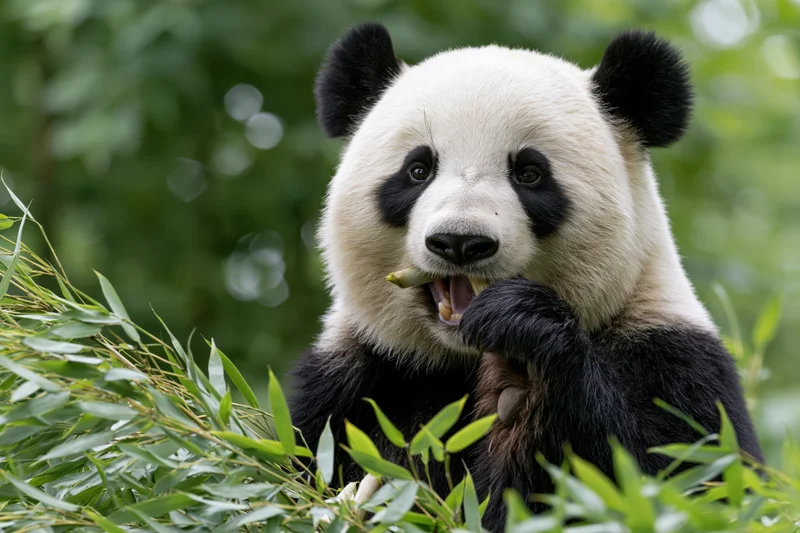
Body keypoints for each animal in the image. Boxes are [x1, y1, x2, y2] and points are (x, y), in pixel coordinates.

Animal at [289, 22, 763, 531]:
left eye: (530, 173)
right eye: (418, 169)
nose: (460, 241)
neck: (462, 358)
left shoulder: (675, 360)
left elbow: (668, 481)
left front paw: (520, 358)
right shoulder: (355, 378)